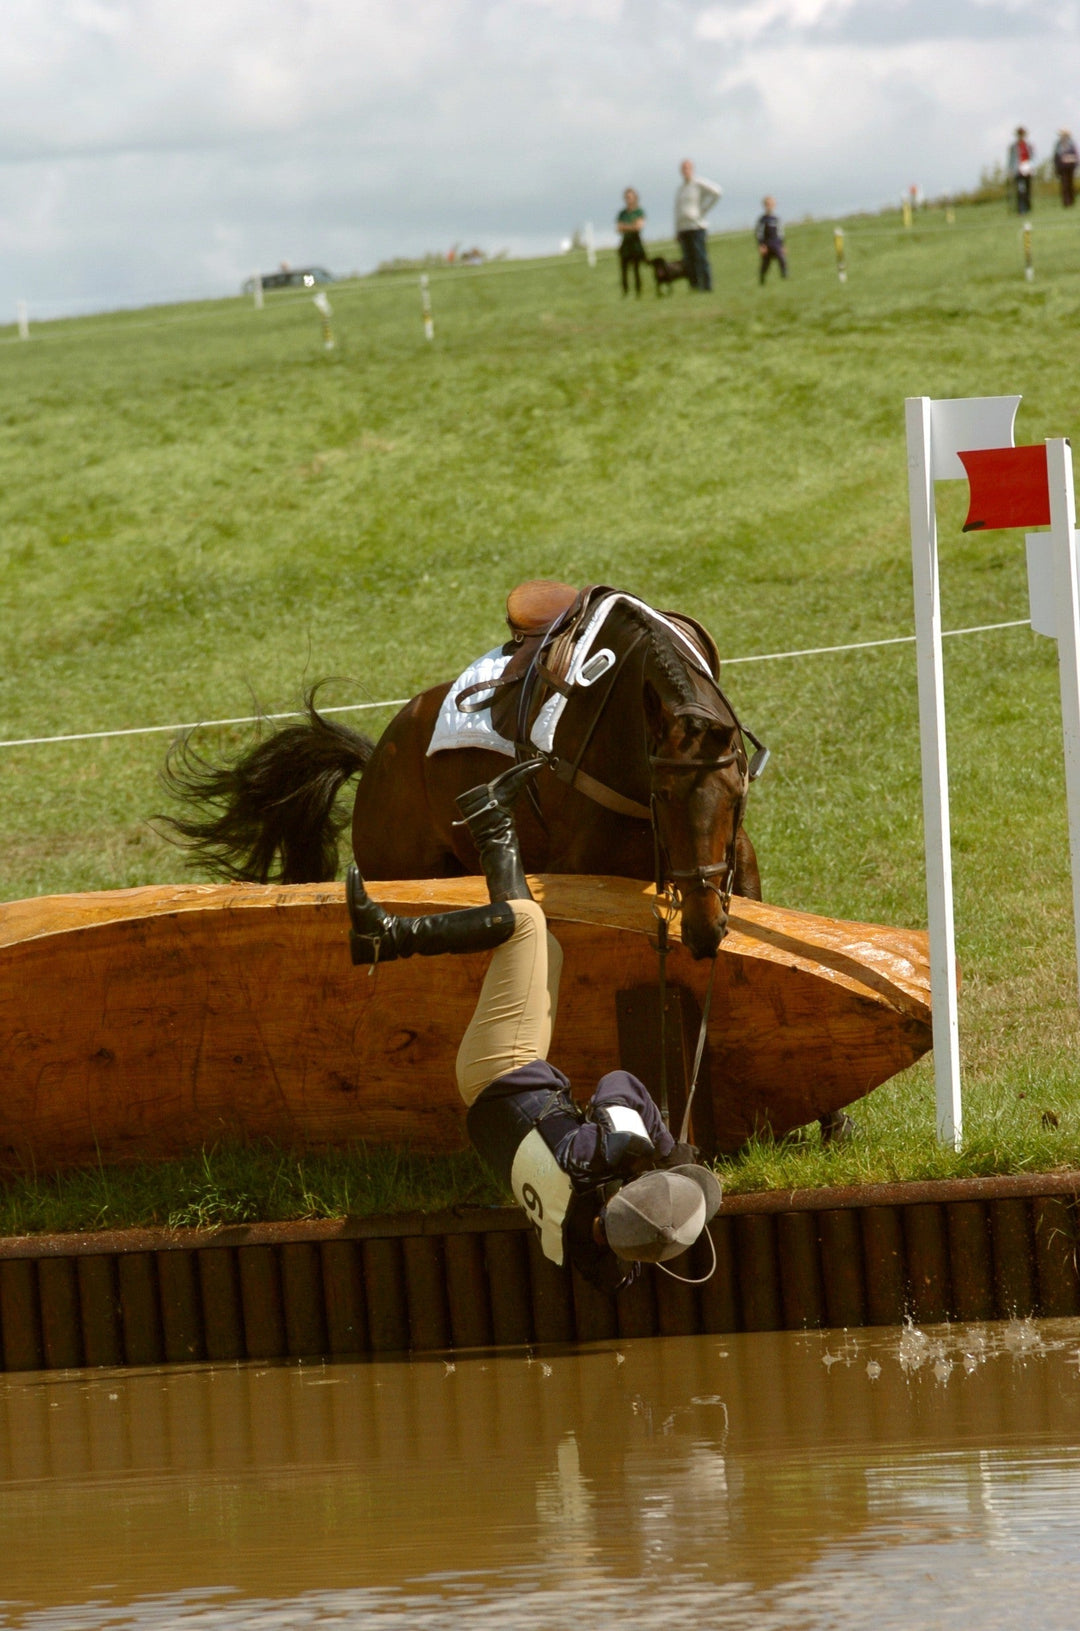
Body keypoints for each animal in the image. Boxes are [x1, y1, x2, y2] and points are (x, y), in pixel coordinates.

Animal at [161, 584, 766, 963]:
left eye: (735, 790)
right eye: (661, 793)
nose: (705, 929)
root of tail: (376, 758)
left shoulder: (733, 850)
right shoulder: (586, 863)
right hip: (403, 868)